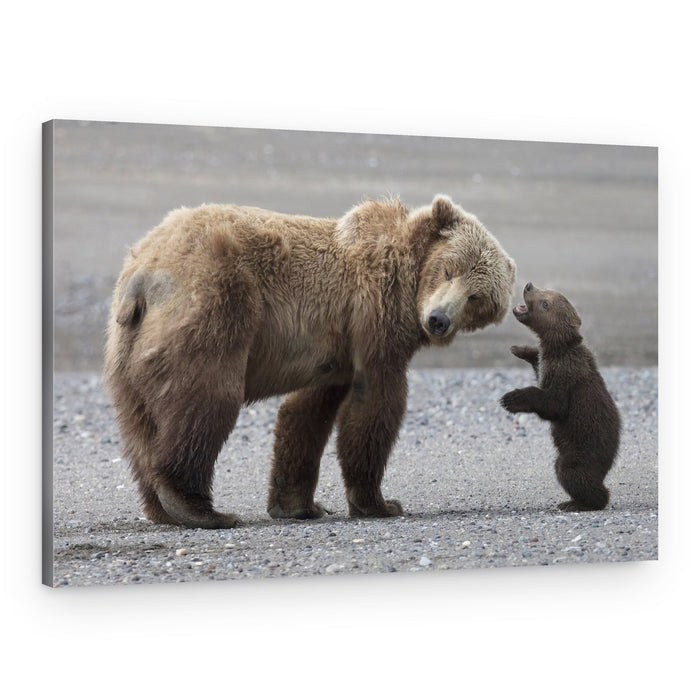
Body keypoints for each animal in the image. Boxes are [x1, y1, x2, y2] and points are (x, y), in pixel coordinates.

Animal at [104, 195, 516, 528]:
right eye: (449, 269)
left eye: (477, 297)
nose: (439, 320)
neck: (409, 272)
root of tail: (146, 273)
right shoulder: (374, 312)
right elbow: (376, 401)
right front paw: (380, 503)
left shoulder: (333, 353)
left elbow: (307, 411)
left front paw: (298, 505)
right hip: (213, 304)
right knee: (207, 396)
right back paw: (199, 509)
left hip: (127, 347)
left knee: (141, 425)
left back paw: (159, 507)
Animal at [500, 282, 621, 511]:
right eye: (546, 290)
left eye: (546, 302)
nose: (528, 286)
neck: (558, 347)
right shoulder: (550, 364)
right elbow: (538, 365)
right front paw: (519, 349)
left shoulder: (566, 373)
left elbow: (554, 404)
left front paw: (510, 399)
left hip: (581, 451)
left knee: (570, 472)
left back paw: (578, 503)